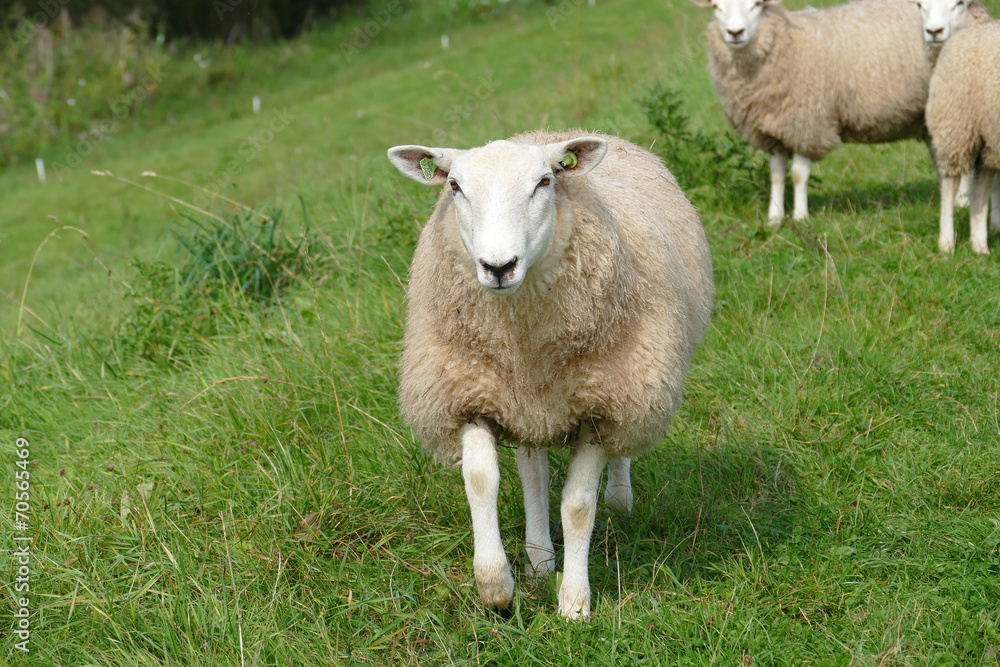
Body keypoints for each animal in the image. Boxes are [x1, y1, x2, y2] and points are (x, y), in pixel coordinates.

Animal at [387, 130, 714, 619]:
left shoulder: (600, 404)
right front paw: (496, 585)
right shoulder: (469, 392)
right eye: (455, 187)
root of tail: (544, 136)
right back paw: (539, 559)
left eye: (544, 182)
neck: (522, 342)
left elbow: (577, 506)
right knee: (533, 473)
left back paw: (618, 499)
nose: (498, 267)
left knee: (618, 450)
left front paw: (575, 603)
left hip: (632, 384)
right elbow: (481, 481)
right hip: (527, 405)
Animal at [695, 0, 935, 226]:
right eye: (716, 7)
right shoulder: (777, 129)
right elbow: (776, 175)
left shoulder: (806, 124)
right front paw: (774, 218)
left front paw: (801, 216)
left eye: (756, 5)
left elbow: (799, 174)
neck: (786, 42)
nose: (735, 33)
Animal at [915, 0, 1000, 252]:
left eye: (958, 3)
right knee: (952, 183)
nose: (934, 32)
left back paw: (979, 245)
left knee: (979, 185)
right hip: (959, 123)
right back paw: (948, 243)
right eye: (919, 4)